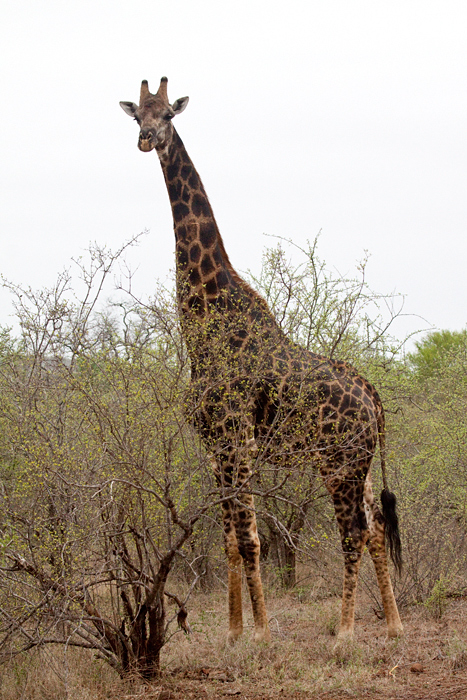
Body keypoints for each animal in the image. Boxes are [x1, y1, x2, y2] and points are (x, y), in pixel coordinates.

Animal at [121, 76, 406, 640]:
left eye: (168, 114)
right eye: (134, 115)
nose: (145, 139)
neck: (204, 318)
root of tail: (374, 398)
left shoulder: (238, 440)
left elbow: (251, 539)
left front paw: (264, 631)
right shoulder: (215, 446)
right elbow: (230, 539)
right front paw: (235, 633)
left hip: (340, 462)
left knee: (353, 532)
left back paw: (345, 633)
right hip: (358, 463)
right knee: (375, 526)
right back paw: (392, 625)